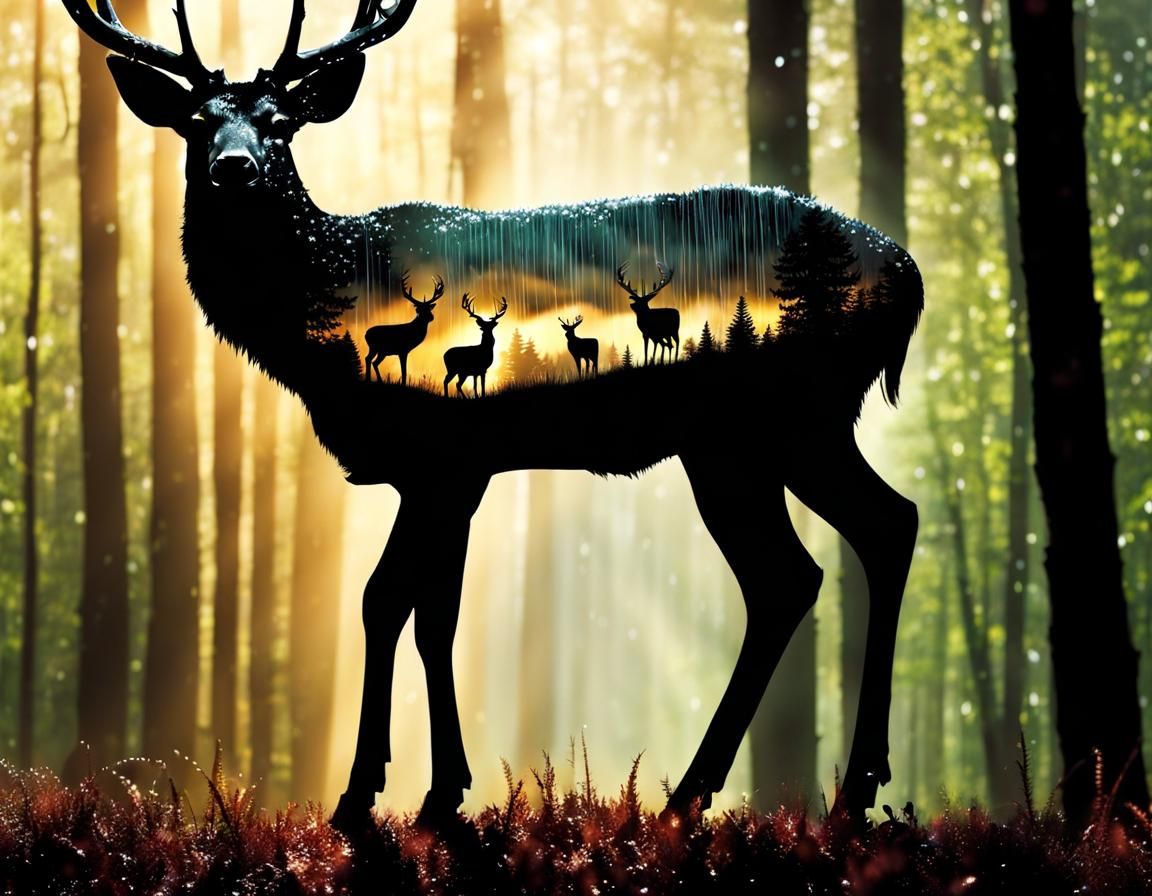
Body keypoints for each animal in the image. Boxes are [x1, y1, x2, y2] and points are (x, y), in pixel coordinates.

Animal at [64, 0, 923, 837]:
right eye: (194, 122)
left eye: (280, 122)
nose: (233, 168)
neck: (324, 324)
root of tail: (910, 278)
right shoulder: (449, 472)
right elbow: (431, 614)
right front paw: (440, 791)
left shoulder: (443, 457)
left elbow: (388, 601)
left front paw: (368, 794)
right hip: (746, 445)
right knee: (820, 559)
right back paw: (755, 795)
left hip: (785, 422)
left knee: (853, 540)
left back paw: (788, 793)